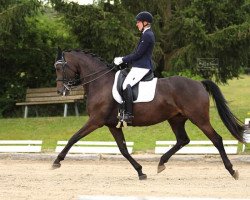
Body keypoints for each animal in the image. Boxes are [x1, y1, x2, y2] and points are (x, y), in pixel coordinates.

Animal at [51, 48, 245, 180]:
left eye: (60, 68)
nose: (60, 91)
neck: (100, 83)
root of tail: (198, 83)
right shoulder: (112, 125)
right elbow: (123, 149)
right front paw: (140, 171)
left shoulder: (95, 121)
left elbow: (73, 138)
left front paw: (57, 161)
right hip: (176, 119)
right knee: (182, 140)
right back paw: (161, 163)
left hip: (199, 118)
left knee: (216, 139)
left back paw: (231, 170)